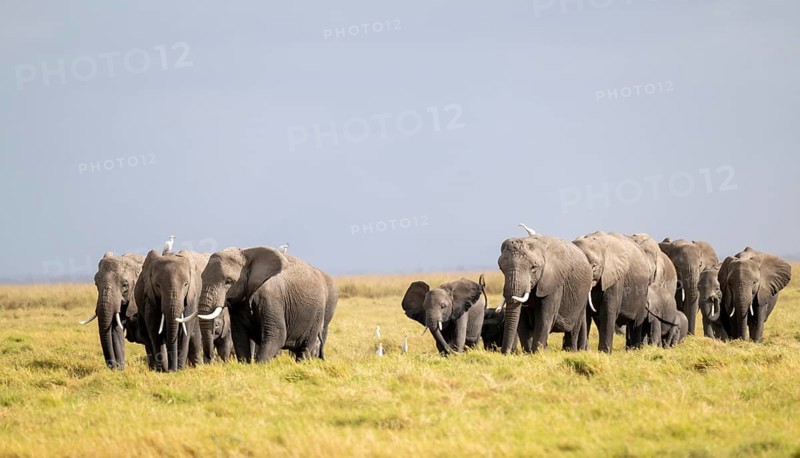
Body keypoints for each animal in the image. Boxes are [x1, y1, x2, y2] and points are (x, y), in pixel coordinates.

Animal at [185, 247, 338, 363]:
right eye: (202, 278)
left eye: (228, 281)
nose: (210, 356)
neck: (246, 256)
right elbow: (239, 337)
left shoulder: (271, 298)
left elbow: (276, 335)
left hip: (318, 312)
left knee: (305, 348)